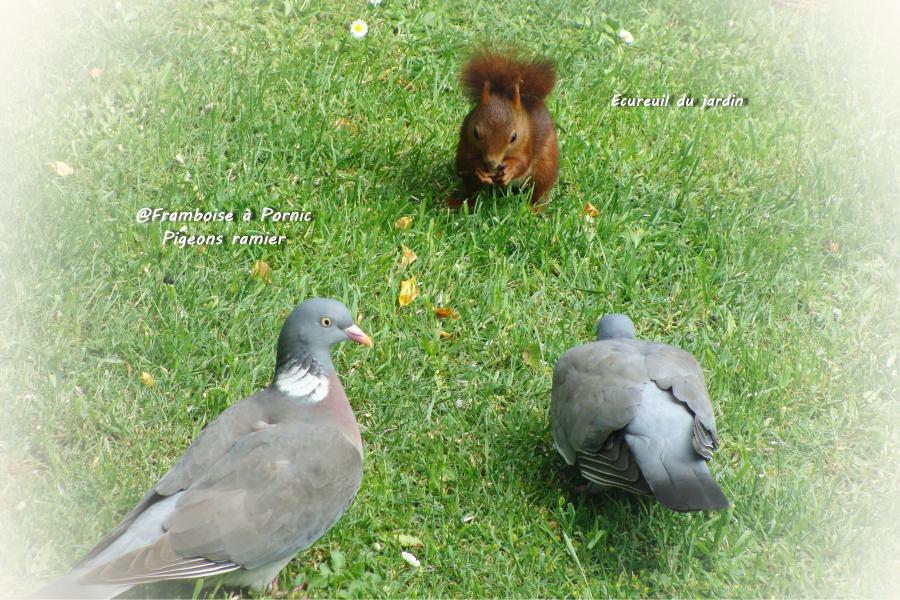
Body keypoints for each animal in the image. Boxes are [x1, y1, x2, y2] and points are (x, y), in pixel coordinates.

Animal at [453, 51, 559, 207]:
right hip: (464, 170)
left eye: (514, 137)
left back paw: (534, 208)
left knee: (539, 192)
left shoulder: (527, 141)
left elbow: (523, 161)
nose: (491, 163)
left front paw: (510, 170)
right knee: (473, 189)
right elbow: (469, 159)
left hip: (545, 169)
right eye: (476, 133)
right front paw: (480, 168)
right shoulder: (467, 139)